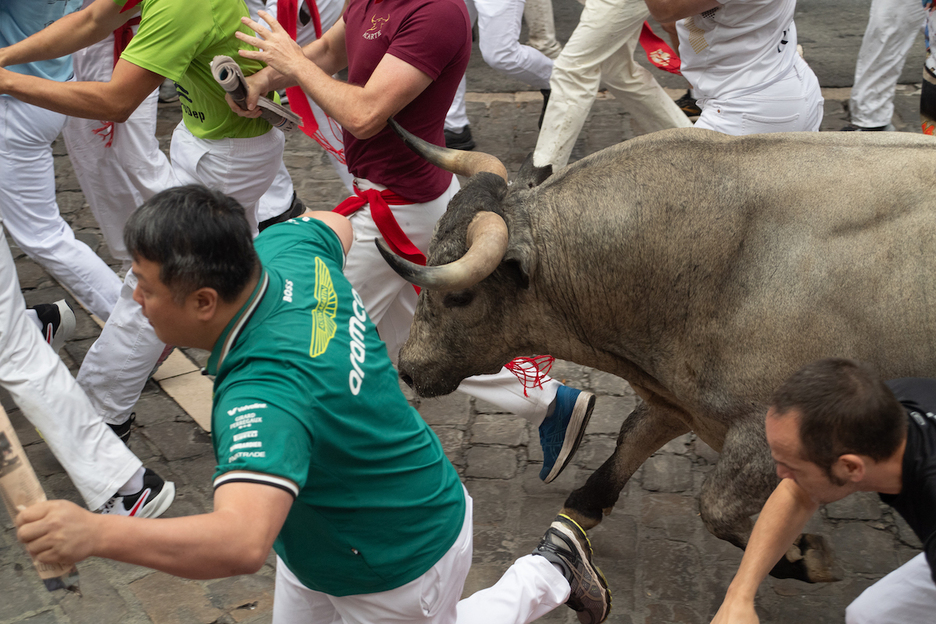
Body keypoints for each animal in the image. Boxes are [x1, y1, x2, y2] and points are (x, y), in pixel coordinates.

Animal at [376, 123, 936, 584]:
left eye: (460, 296)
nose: (409, 368)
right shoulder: (679, 397)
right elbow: (627, 444)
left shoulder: (764, 431)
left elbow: (717, 508)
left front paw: (802, 556)